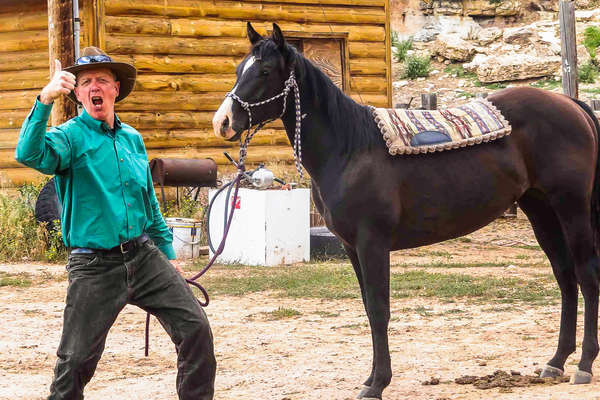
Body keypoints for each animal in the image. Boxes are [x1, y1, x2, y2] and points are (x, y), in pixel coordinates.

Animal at [213, 23, 600, 398]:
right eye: (238, 69)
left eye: (264, 71)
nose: (223, 121)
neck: (349, 149)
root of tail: (569, 103)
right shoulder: (352, 248)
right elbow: (369, 308)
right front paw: (371, 378)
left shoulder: (372, 244)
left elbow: (379, 309)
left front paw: (378, 384)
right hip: (541, 210)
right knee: (565, 277)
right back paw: (556, 361)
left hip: (571, 207)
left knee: (586, 275)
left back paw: (583, 364)